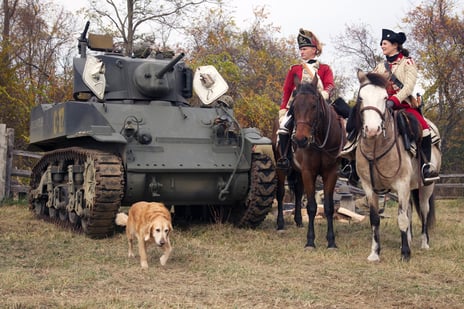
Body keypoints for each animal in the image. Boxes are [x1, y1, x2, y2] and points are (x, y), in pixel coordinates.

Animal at [292, 75, 346, 248]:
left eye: (314, 105)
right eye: (294, 106)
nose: (300, 140)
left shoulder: (332, 173)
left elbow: (329, 207)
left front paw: (331, 241)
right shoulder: (308, 172)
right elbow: (311, 207)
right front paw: (310, 241)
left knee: (297, 192)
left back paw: (298, 221)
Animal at [354, 69, 440, 260]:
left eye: (385, 97)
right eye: (361, 97)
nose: (372, 129)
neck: (375, 149)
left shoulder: (401, 185)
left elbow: (401, 218)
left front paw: (405, 254)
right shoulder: (369, 187)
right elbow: (375, 219)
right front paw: (375, 253)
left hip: (426, 187)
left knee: (423, 211)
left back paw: (424, 243)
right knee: (408, 211)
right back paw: (407, 239)